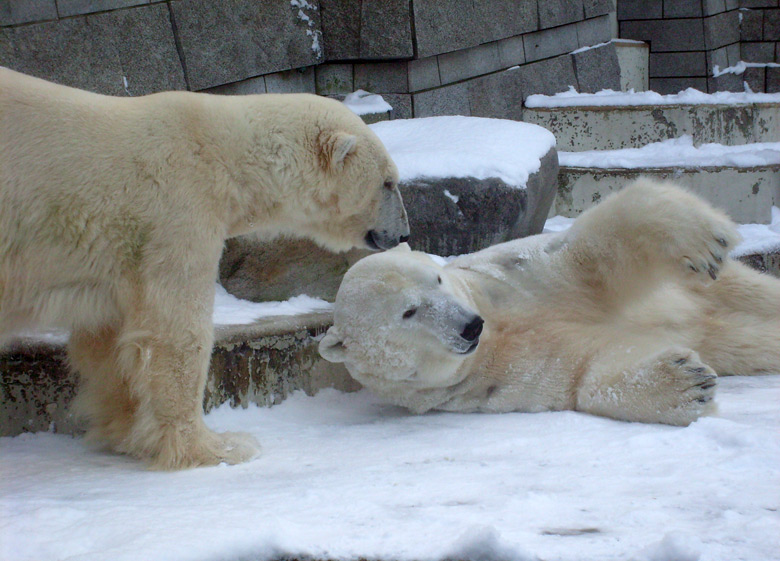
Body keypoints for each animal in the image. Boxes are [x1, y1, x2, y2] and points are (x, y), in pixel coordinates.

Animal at [0, 65, 412, 468]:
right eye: (388, 182)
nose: (404, 232)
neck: (225, 153)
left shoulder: (118, 257)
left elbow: (107, 338)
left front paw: (126, 432)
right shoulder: (178, 209)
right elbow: (176, 327)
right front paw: (216, 446)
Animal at [320, 179, 780, 424]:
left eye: (436, 278)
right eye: (409, 311)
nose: (470, 325)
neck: (495, 328)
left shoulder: (508, 280)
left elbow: (588, 258)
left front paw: (703, 241)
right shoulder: (492, 378)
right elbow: (585, 367)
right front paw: (689, 383)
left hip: (708, 287)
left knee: (753, 293)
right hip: (725, 335)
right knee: (746, 340)